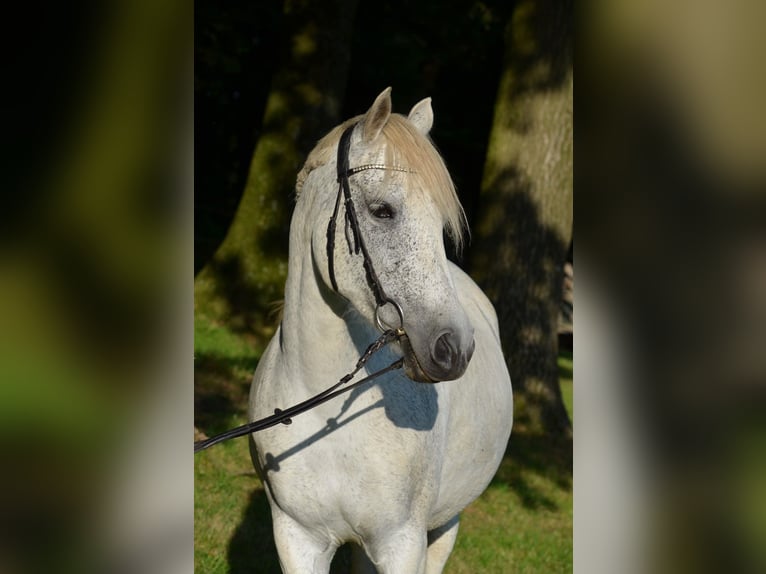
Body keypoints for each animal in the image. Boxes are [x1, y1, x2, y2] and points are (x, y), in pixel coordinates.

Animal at [250, 88, 516, 572]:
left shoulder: (402, 543)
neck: (327, 415)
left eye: (441, 225)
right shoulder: (298, 539)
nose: (454, 348)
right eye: (382, 211)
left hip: (445, 526)